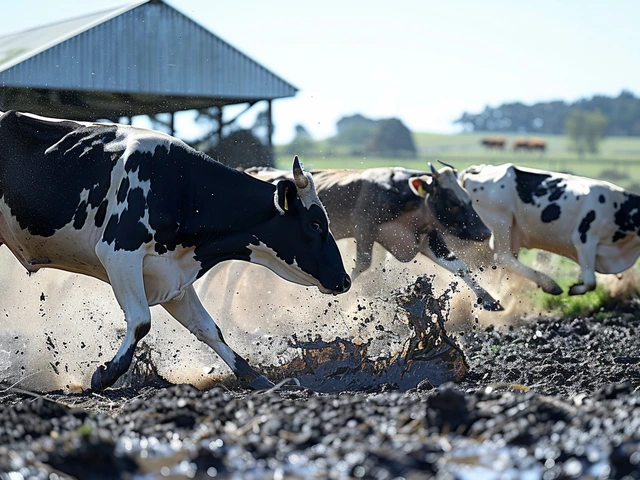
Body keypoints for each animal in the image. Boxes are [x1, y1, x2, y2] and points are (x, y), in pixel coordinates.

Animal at [0, 111, 350, 390]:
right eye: (315, 224)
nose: (344, 280)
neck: (183, 188)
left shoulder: (172, 275)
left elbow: (210, 329)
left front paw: (255, 376)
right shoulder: (119, 253)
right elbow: (141, 320)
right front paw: (105, 375)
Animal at [248, 163, 502, 310]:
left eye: (467, 196)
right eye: (451, 200)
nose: (485, 232)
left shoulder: (426, 238)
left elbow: (459, 266)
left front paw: (490, 300)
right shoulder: (364, 229)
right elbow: (362, 264)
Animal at [460, 163, 640, 294]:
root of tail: (479, 169)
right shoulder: (584, 239)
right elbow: (590, 282)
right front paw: (574, 289)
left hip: (513, 231)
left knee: (505, 263)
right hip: (501, 220)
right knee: (504, 257)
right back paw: (549, 284)